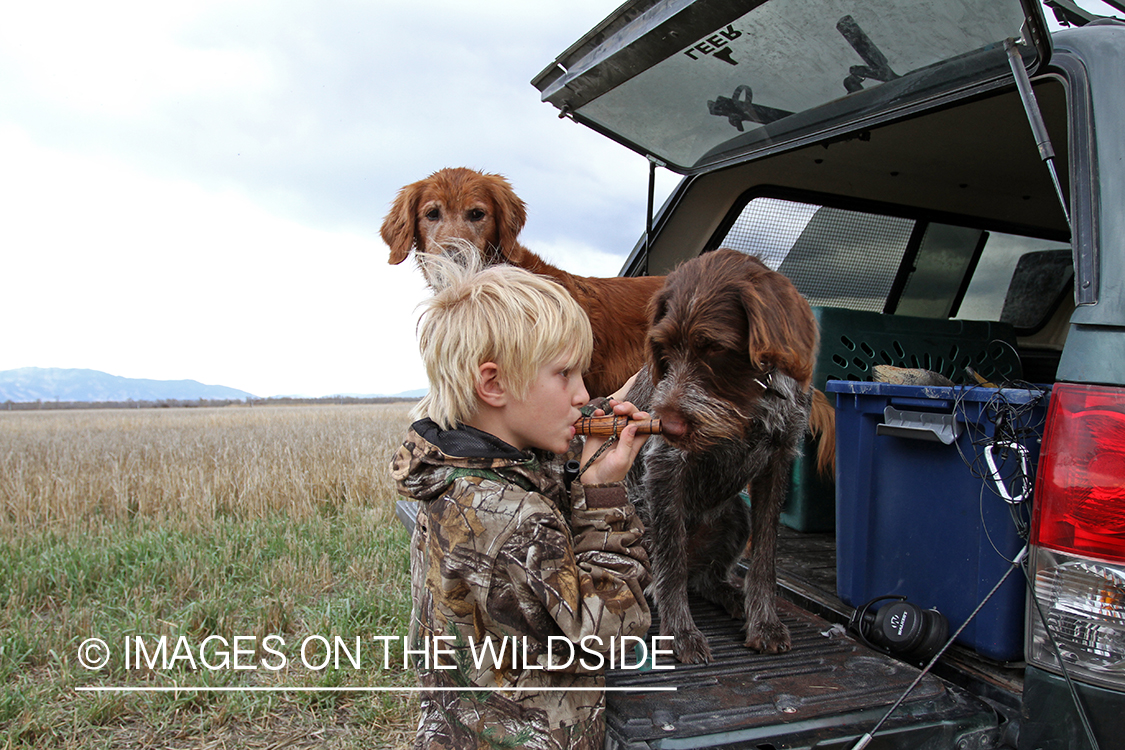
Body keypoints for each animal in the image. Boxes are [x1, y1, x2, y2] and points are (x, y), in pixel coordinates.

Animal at [625, 250, 819, 661]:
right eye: (664, 346)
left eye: (714, 347)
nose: (667, 425)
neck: (750, 397)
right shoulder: (666, 462)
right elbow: (670, 559)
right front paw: (680, 631)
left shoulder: (778, 459)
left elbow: (765, 557)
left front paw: (764, 622)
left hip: (735, 515)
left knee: (704, 578)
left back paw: (731, 594)